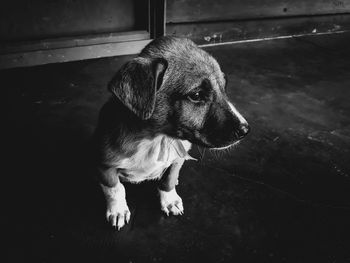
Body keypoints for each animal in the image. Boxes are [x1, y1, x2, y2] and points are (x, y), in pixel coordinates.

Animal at [93, 36, 249, 230]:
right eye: (196, 95)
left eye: (224, 87)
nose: (246, 130)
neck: (157, 139)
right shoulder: (104, 166)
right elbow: (114, 189)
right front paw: (118, 210)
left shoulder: (177, 159)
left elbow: (168, 179)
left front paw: (169, 200)